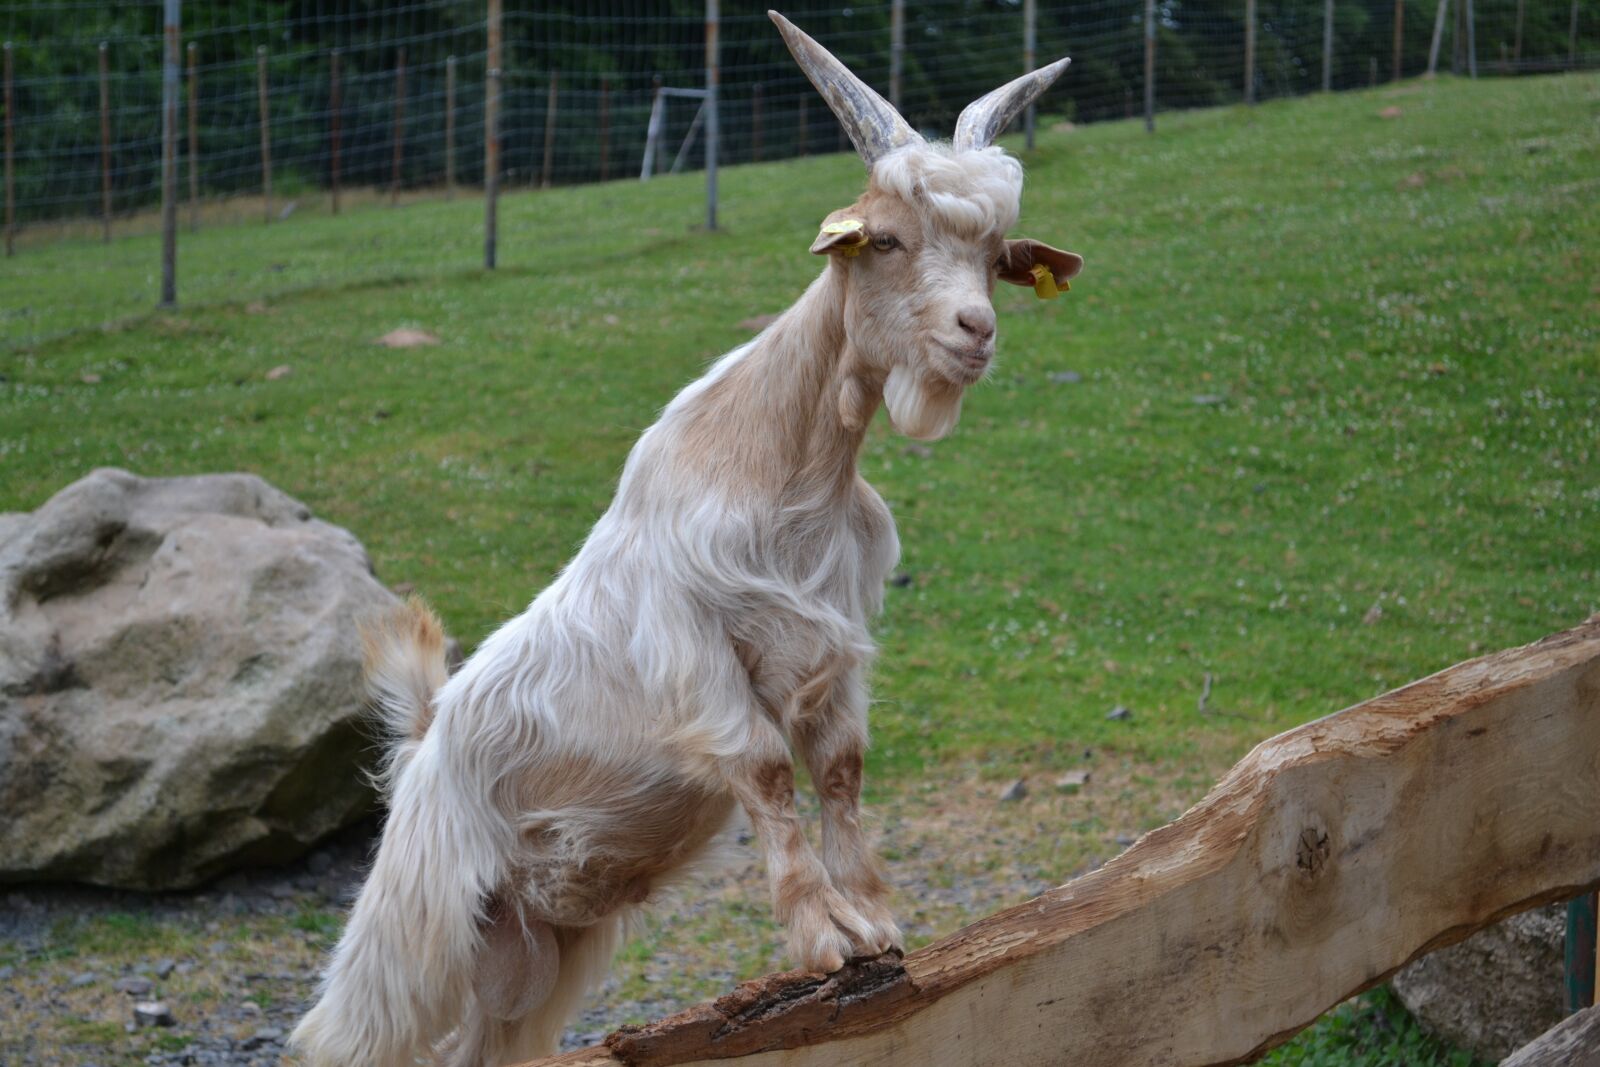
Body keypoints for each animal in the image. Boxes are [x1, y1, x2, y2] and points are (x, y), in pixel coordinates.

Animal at [290, 13, 1083, 1067]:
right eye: (884, 240)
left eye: (997, 255)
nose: (975, 331)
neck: (789, 469)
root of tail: (425, 736)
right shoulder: (693, 641)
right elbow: (762, 765)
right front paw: (825, 937)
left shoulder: (837, 647)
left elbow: (839, 769)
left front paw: (874, 921)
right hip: (413, 924)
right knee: (344, 1030)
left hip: (537, 948)